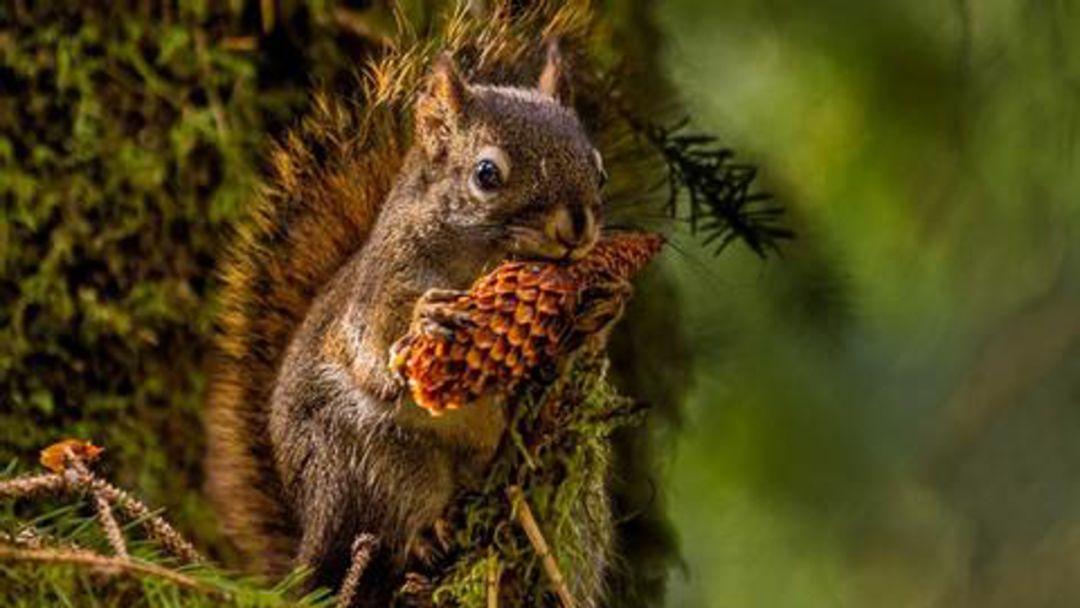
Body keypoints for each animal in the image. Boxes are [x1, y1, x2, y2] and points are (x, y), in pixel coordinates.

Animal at [204, 30, 617, 604]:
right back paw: (426, 535)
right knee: (393, 523)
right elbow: (374, 337)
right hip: (368, 459)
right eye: (487, 174)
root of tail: (308, 539)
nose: (576, 226)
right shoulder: (379, 286)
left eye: (598, 169)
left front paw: (599, 310)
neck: (480, 263)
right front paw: (426, 320)